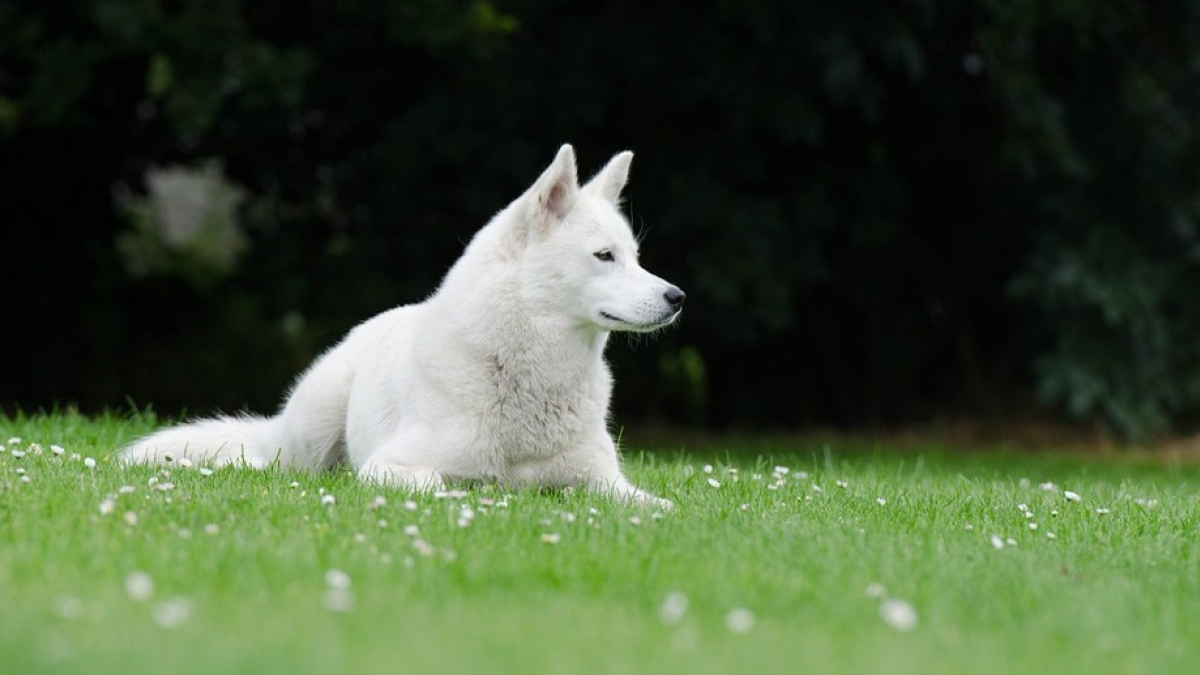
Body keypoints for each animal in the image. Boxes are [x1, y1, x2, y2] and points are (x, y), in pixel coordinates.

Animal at [124, 145, 686, 504]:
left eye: (636, 258)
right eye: (604, 256)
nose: (677, 298)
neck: (524, 375)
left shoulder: (605, 482)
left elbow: (654, 506)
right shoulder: (391, 465)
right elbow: (440, 484)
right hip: (310, 431)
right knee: (273, 461)